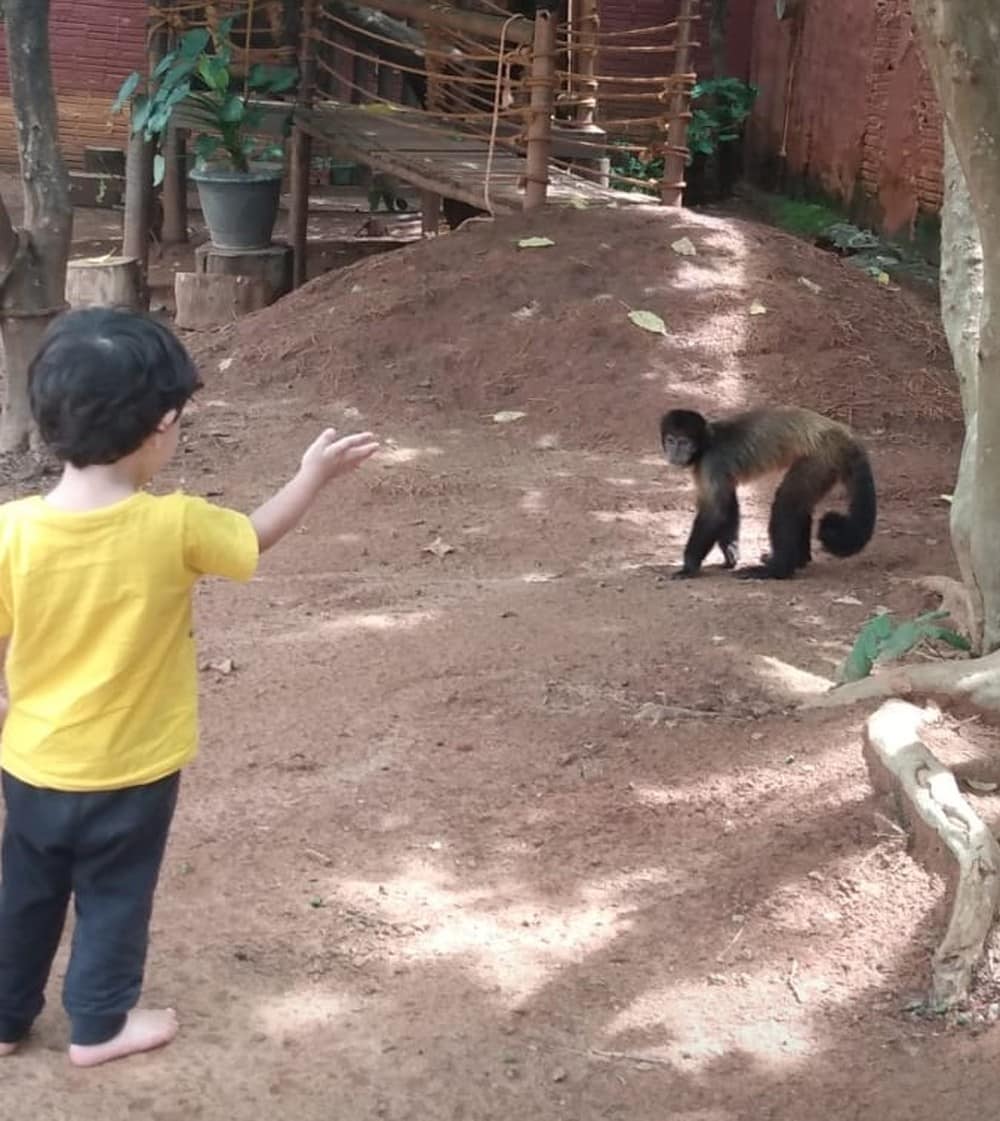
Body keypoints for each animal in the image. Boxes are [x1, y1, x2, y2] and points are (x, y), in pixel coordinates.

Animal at [660, 405, 877, 581]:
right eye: (671, 441)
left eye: (684, 442)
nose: (675, 453)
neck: (707, 443)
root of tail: (842, 432)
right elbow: (728, 504)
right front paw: (731, 553)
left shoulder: (711, 463)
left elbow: (715, 513)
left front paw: (689, 567)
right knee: (800, 505)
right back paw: (799, 560)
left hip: (821, 457)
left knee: (786, 503)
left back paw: (779, 570)